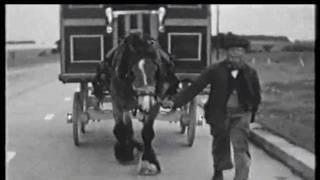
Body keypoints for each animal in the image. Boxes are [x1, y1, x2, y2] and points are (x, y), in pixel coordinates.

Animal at [92, 32, 180, 174]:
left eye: (156, 69)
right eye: (132, 72)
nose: (145, 104)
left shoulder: (154, 104)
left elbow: (147, 132)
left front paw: (148, 161)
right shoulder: (117, 101)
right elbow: (121, 128)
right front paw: (124, 152)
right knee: (126, 124)